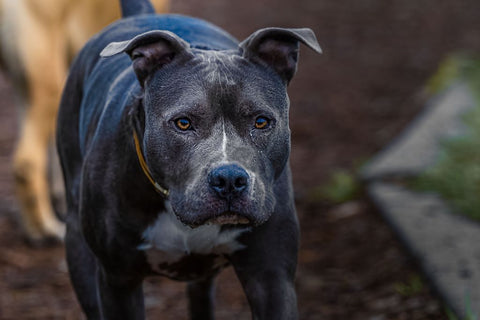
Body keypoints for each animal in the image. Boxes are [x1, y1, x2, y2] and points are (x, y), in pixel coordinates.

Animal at [57, 0, 322, 318]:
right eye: (183, 123)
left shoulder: (271, 276)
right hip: (78, 245)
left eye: (261, 122)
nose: (229, 179)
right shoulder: (118, 280)